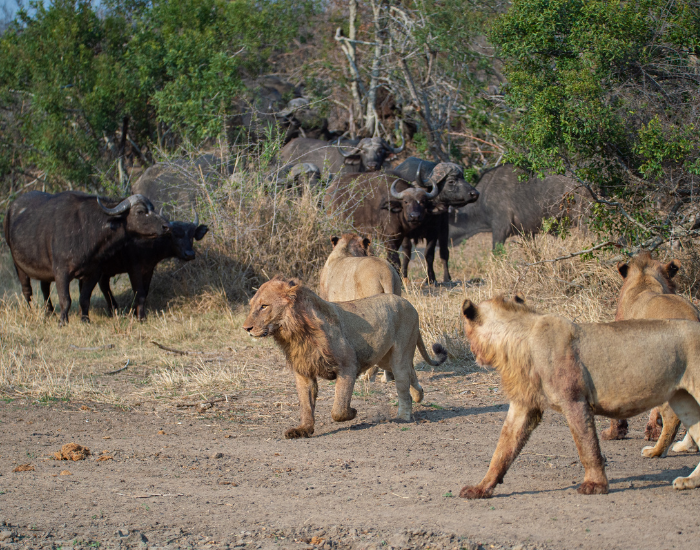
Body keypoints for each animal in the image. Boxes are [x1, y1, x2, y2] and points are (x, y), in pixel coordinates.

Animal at [243, 276, 447, 438]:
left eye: (264, 306)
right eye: (252, 306)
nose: (246, 328)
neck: (295, 334)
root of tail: (408, 304)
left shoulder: (348, 365)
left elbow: (338, 408)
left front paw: (352, 411)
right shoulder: (304, 372)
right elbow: (306, 406)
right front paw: (303, 430)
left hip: (399, 356)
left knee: (404, 387)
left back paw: (403, 417)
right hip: (385, 359)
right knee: (412, 373)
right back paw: (419, 395)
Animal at [459, 294, 700, 498]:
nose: (473, 353)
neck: (520, 340)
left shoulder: (574, 400)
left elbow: (587, 446)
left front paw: (595, 485)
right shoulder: (524, 405)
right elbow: (502, 450)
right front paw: (481, 488)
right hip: (683, 399)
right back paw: (688, 481)